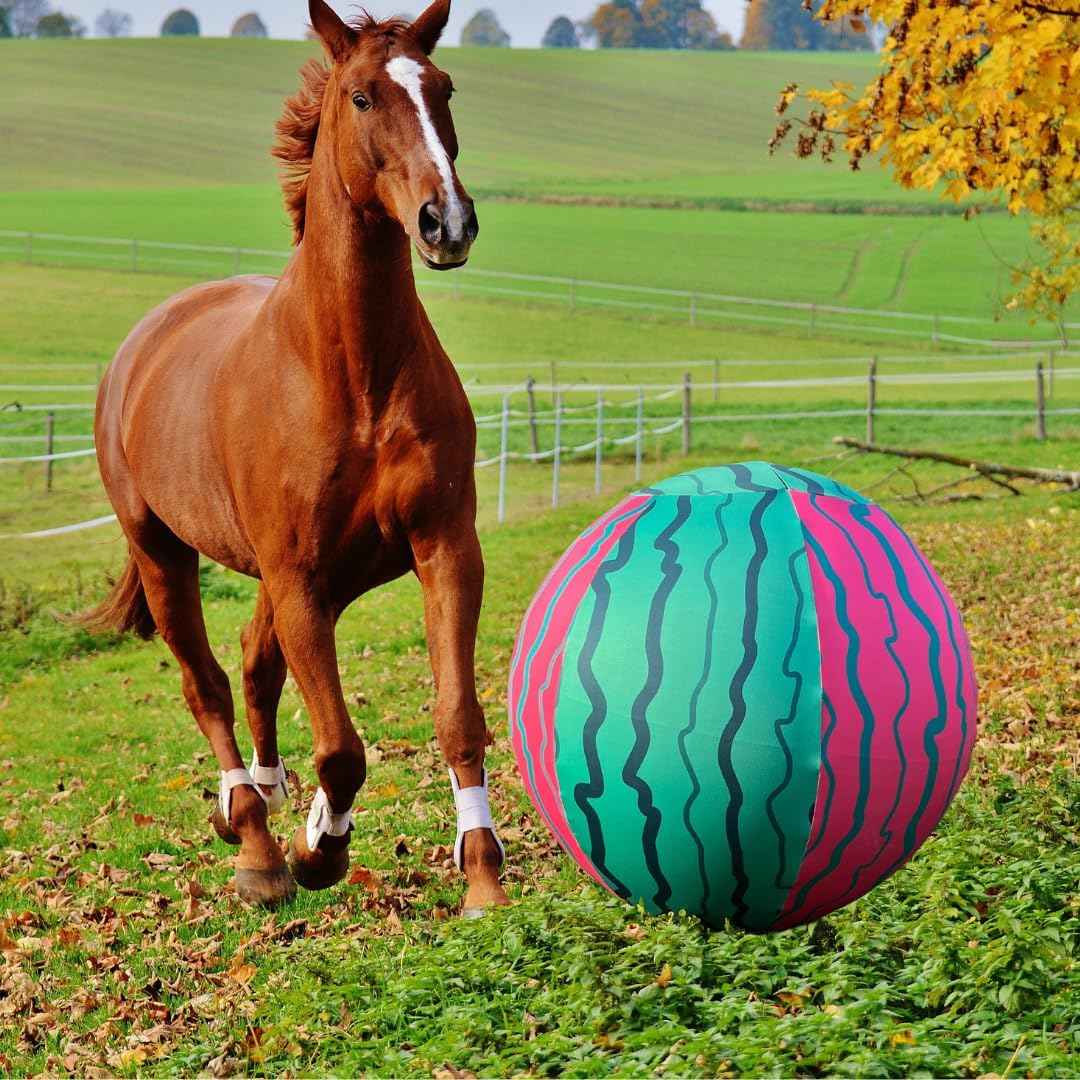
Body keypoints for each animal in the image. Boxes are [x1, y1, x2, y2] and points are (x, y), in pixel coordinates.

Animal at [82, 0, 508, 915]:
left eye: (445, 88)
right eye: (360, 96)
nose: (446, 223)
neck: (352, 374)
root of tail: (142, 344)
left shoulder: (443, 549)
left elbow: (458, 716)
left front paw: (484, 877)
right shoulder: (299, 575)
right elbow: (342, 747)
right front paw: (319, 850)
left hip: (324, 576)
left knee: (253, 662)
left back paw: (266, 801)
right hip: (165, 553)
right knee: (207, 682)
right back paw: (253, 839)